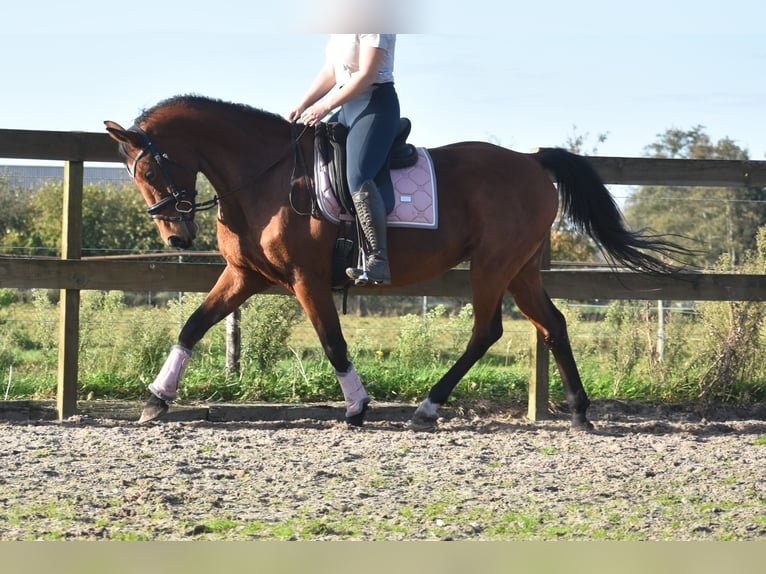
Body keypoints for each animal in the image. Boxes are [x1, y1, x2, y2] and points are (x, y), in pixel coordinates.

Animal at [105, 94, 688, 430]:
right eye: (135, 174)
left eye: (149, 169)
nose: (177, 236)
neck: (265, 177)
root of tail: (531, 161)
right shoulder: (245, 274)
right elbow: (193, 324)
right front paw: (156, 399)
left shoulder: (306, 279)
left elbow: (333, 342)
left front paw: (358, 408)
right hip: (520, 268)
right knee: (553, 324)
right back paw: (579, 413)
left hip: (493, 265)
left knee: (487, 331)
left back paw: (429, 407)